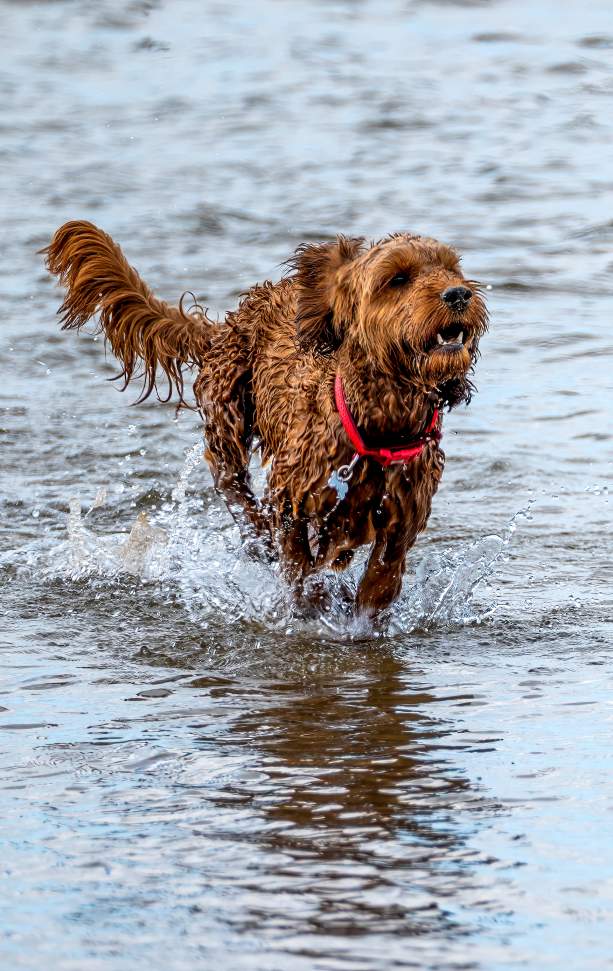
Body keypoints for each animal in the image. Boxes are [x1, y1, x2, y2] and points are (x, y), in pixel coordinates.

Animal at [44, 223, 488, 616]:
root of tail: (234, 319)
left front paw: (358, 615)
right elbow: (297, 560)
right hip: (227, 407)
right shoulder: (292, 491)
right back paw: (259, 536)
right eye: (397, 278)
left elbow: (382, 576)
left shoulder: (402, 514)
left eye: (452, 268)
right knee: (229, 478)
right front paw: (313, 604)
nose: (459, 293)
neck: (381, 422)